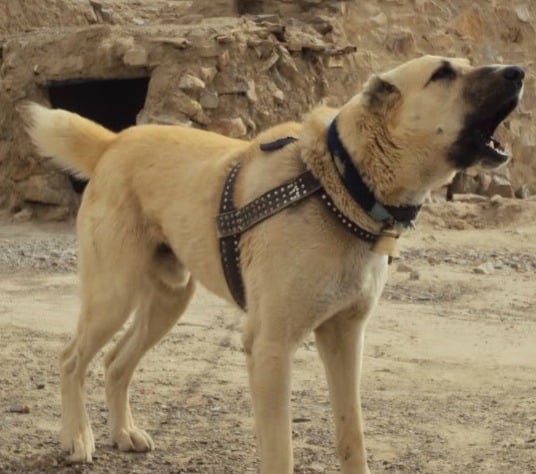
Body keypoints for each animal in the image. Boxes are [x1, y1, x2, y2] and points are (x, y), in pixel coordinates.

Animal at [26, 56, 524, 474]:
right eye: (444, 74)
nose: (518, 71)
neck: (336, 183)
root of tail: (114, 141)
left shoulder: (345, 338)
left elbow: (352, 436)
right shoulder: (269, 347)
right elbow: (281, 451)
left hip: (168, 300)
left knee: (115, 363)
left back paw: (124, 432)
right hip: (114, 294)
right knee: (71, 358)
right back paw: (78, 437)